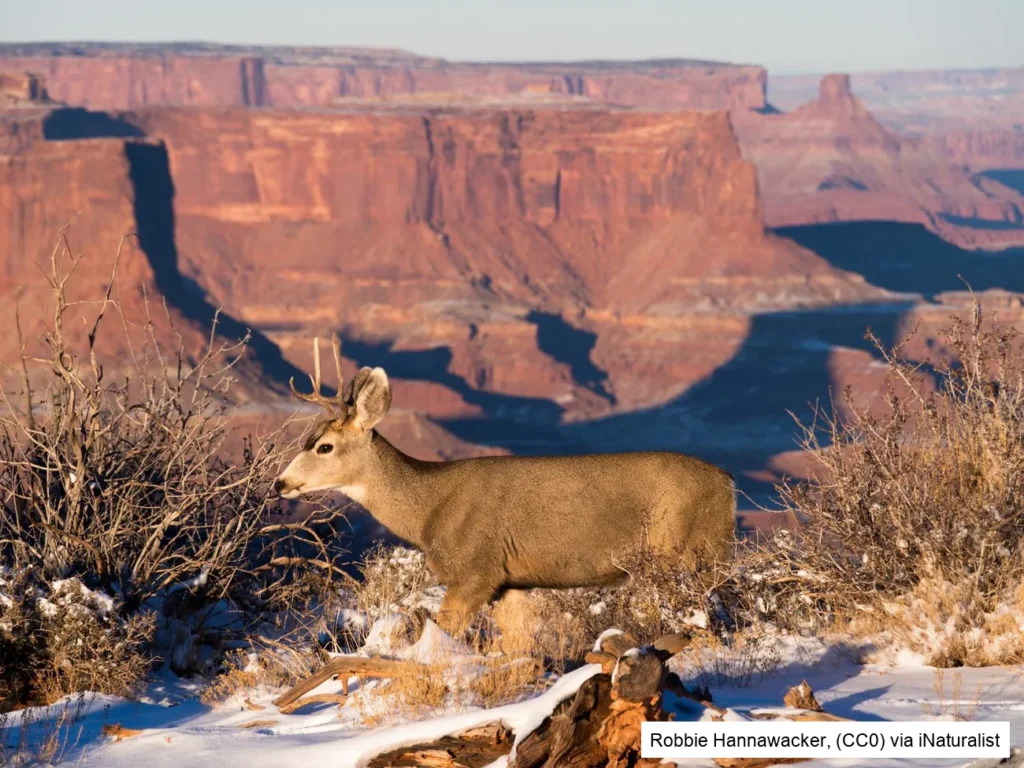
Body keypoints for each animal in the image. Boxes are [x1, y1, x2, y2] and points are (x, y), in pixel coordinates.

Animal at [274, 335, 736, 635]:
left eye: (325, 446)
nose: (281, 483)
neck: (428, 510)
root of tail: (728, 483)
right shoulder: (513, 583)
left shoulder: (476, 569)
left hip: (686, 550)